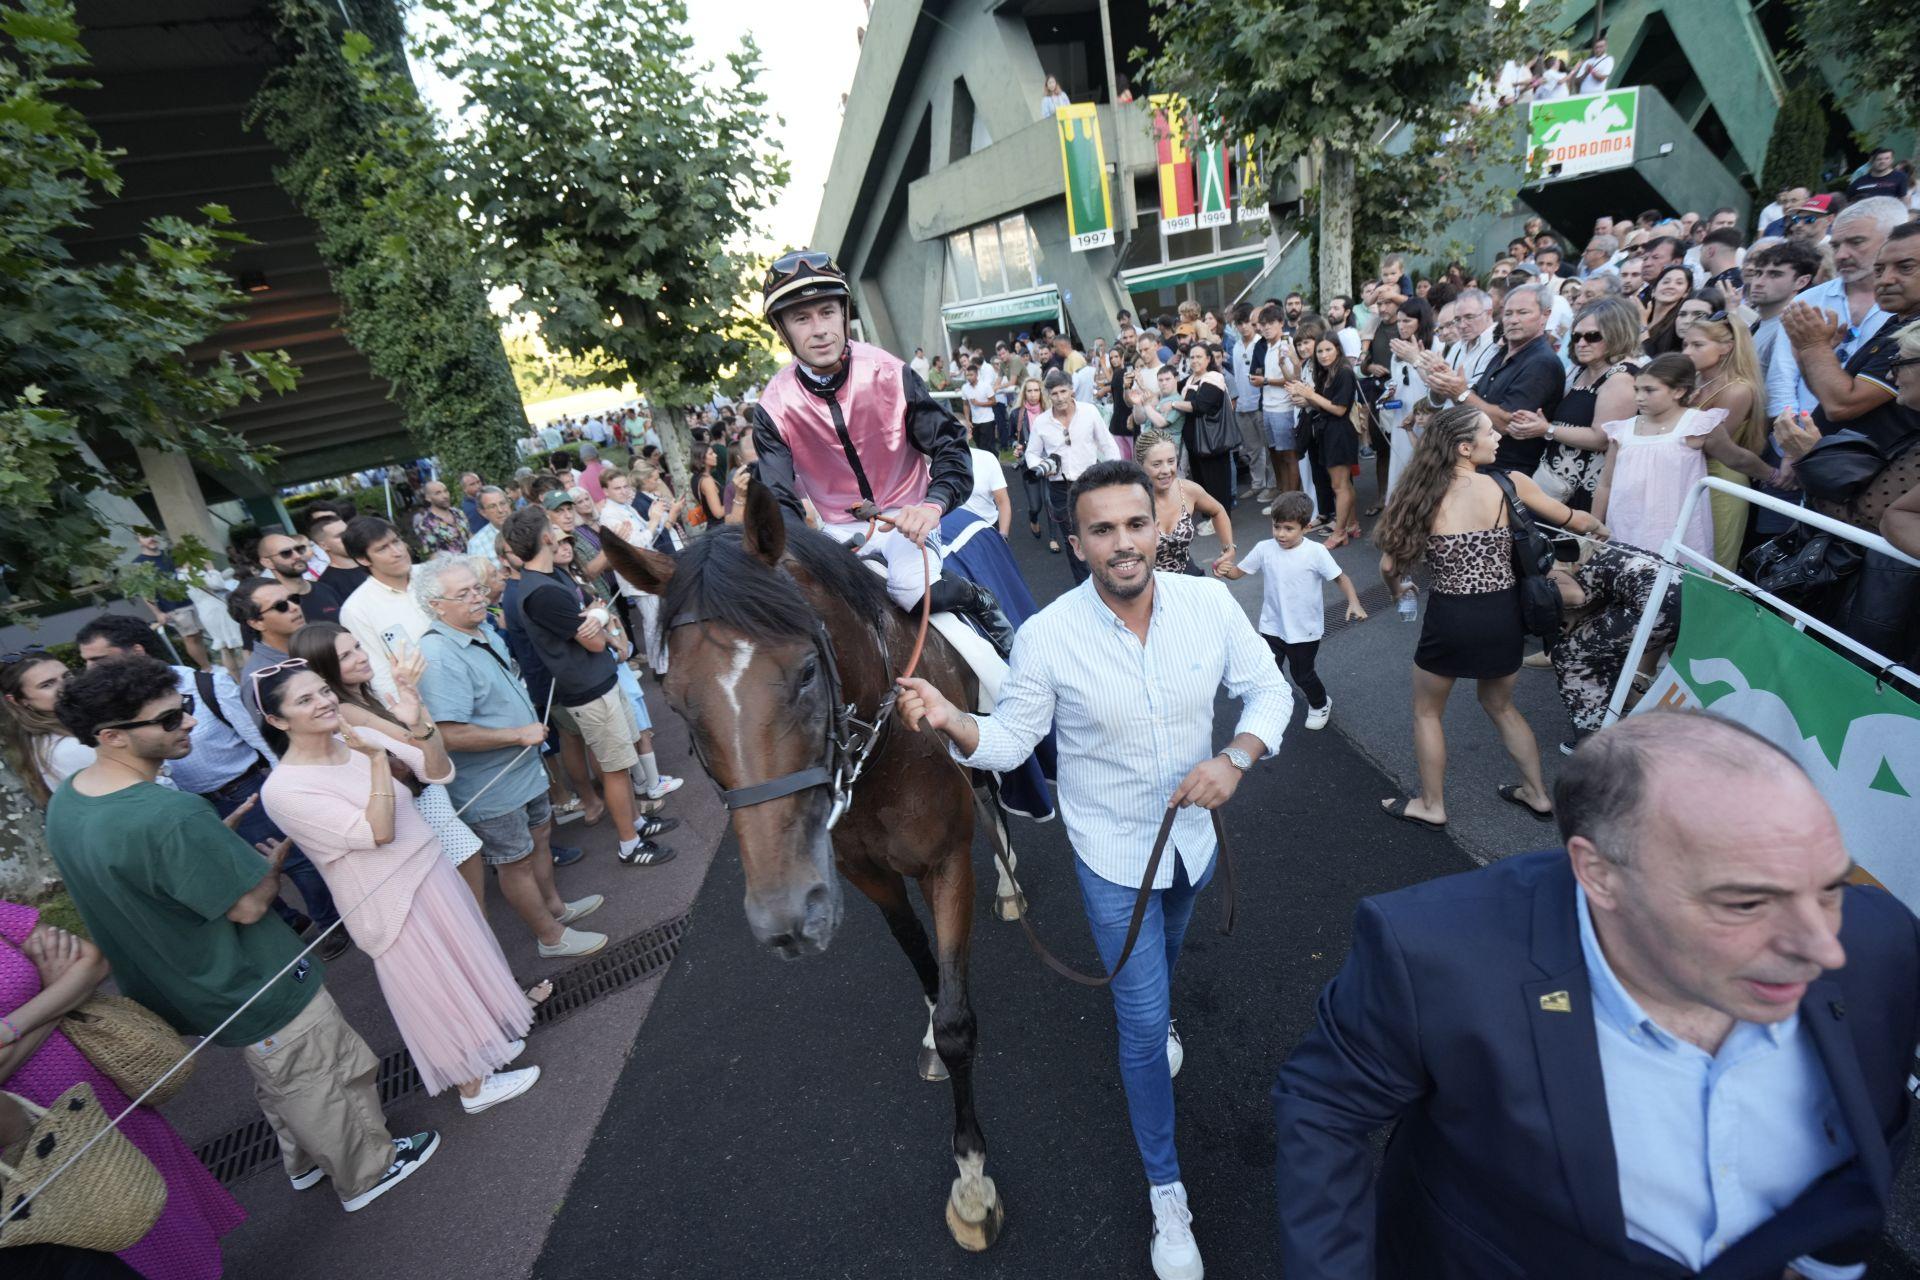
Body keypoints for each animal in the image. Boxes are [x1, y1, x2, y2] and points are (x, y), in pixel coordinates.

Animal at [599, 485, 1021, 1258]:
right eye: (674, 700)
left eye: (803, 672)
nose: (787, 917)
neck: (882, 751)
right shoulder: (867, 877)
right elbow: (922, 965)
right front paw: (927, 1033)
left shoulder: (945, 862)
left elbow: (957, 1020)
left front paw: (973, 1184)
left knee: (995, 795)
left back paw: (1011, 884)